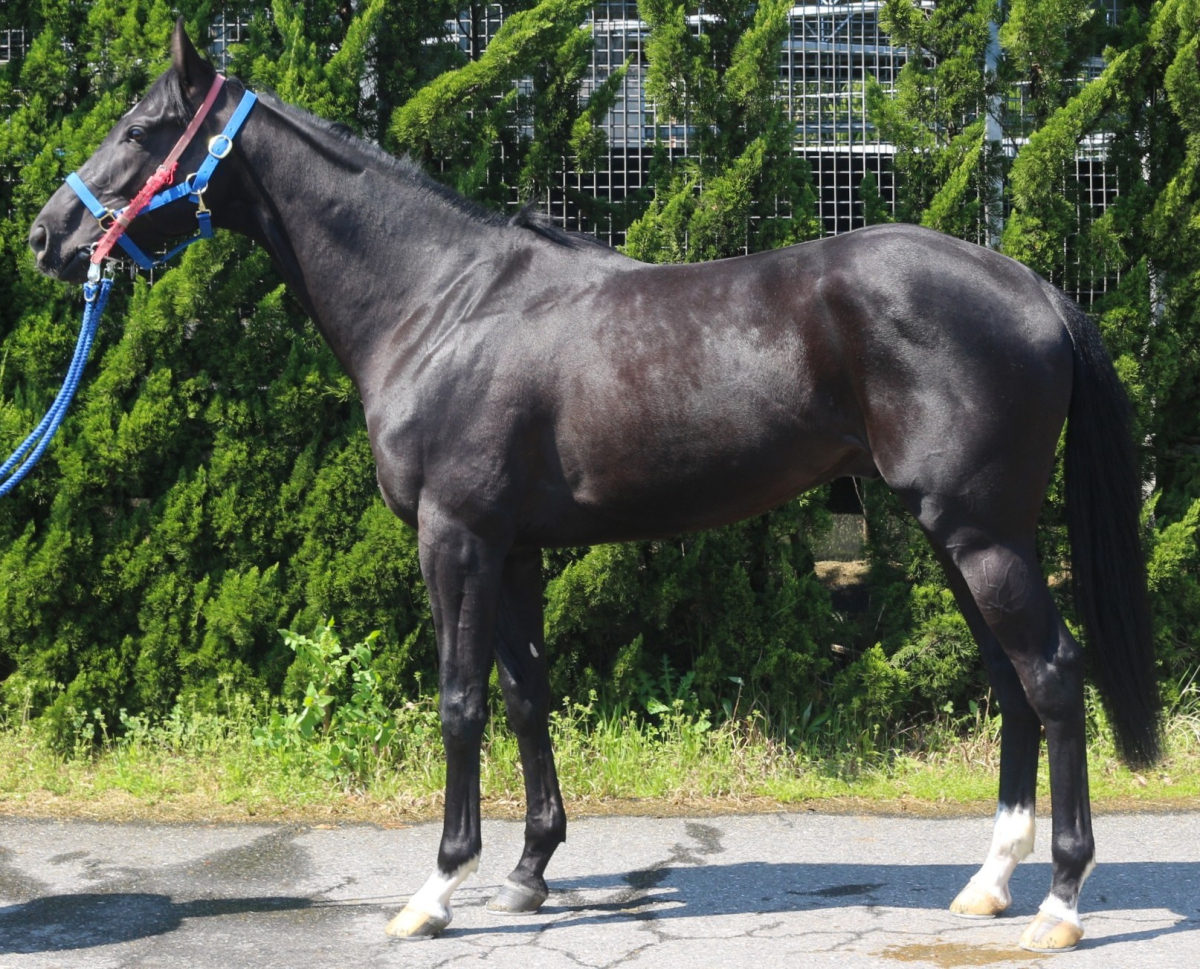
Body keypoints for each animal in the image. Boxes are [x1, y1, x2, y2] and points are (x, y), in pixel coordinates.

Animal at [28, 20, 1160, 951]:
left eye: (141, 128)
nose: (47, 236)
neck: (441, 305)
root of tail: (1036, 290)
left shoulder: (456, 537)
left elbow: (461, 701)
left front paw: (437, 891)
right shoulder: (514, 547)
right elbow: (527, 695)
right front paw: (530, 870)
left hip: (983, 534)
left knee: (1054, 675)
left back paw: (1059, 901)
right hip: (954, 533)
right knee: (1012, 681)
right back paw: (990, 882)